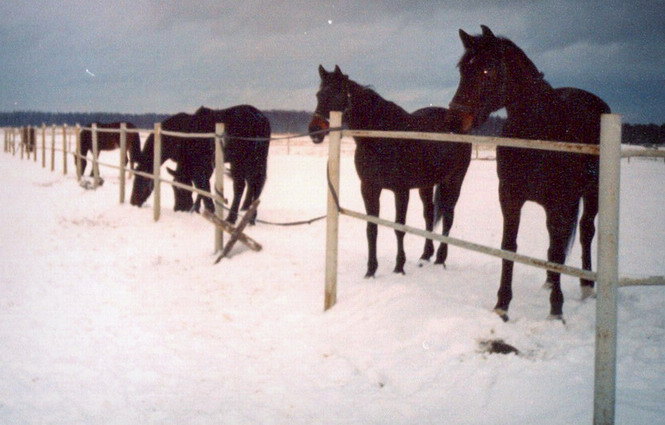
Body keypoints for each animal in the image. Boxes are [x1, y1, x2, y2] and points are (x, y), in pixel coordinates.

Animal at [130, 105, 270, 222]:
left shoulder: (200, 165)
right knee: (254, 184)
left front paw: (207, 210)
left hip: (240, 162)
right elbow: (201, 186)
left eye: (140, 179)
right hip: (256, 161)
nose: (133, 202)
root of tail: (260, 119)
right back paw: (249, 215)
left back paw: (232, 218)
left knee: (241, 186)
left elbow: (201, 186)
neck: (180, 135)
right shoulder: (202, 165)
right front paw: (197, 208)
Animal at [308, 65, 470, 278]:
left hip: (454, 180)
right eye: (318, 95)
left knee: (449, 217)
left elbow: (399, 228)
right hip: (427, 185)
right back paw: (425, 256)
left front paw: (399, 267)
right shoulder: (369, 188)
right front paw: (370, 270)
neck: (381, 138)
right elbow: (372, 228)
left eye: (336, 94)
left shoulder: (401, 191)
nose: (314, 131)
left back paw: (441, 259)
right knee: (429, 214)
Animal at [446, 24, 612, 320]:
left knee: (585, 231)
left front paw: (556, 310)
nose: (454, 121)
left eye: (488, 70)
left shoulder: (560, 202)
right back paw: (548, 281)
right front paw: (502, 305)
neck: (538, 133)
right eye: (462, 69)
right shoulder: (510, 197)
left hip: (591, 194)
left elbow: (558, 250)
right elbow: (510, 246)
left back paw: (585, 286)